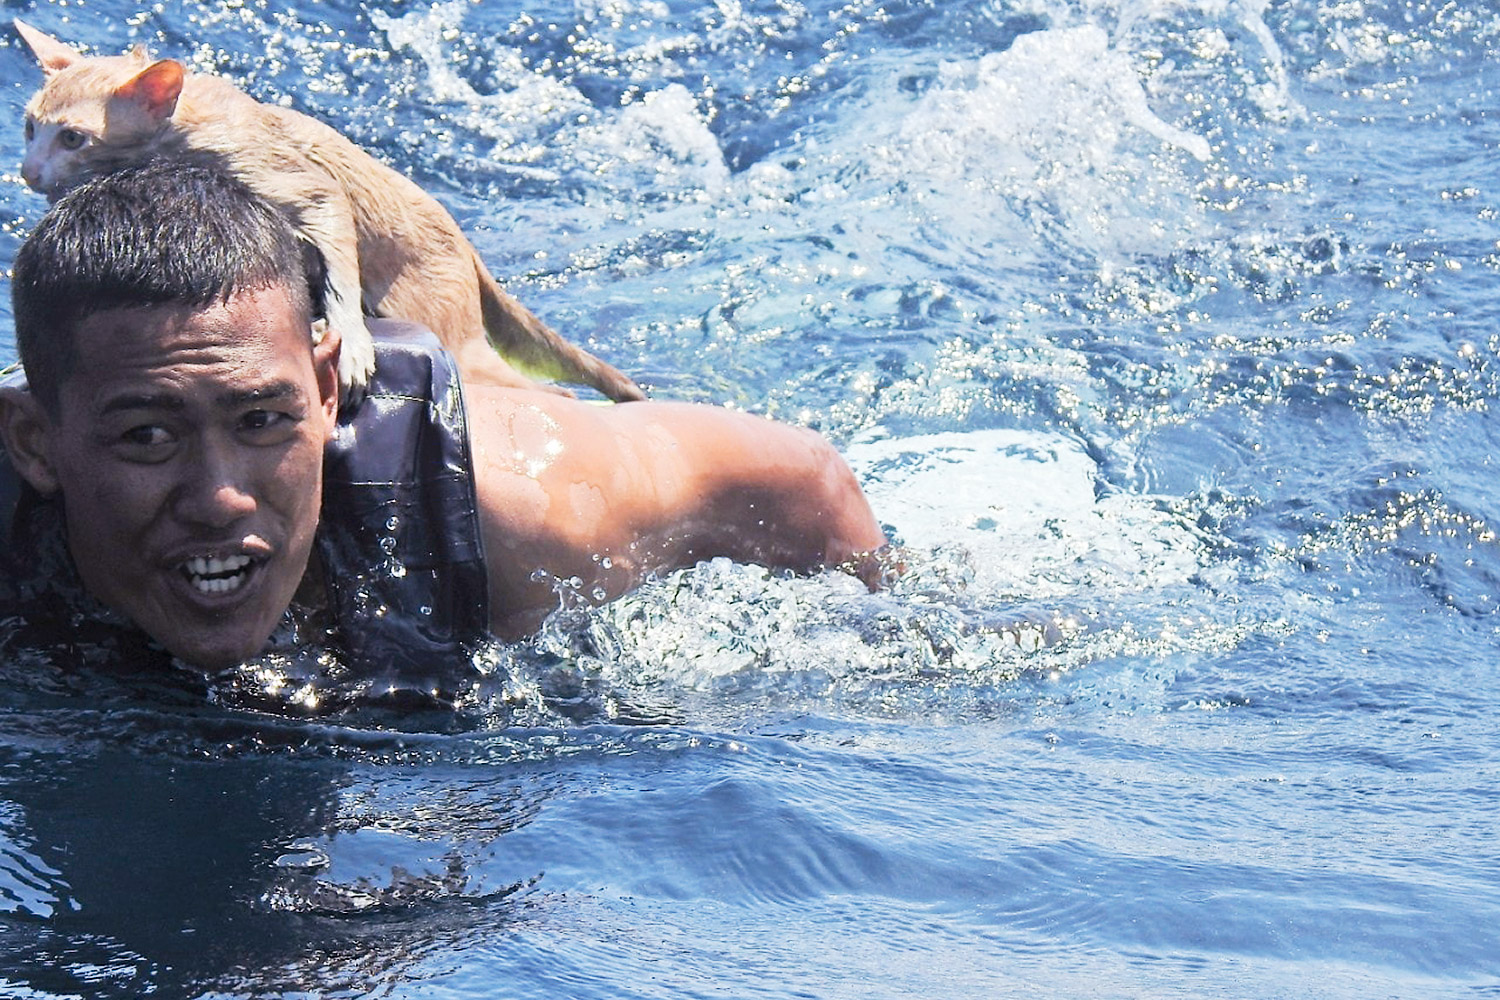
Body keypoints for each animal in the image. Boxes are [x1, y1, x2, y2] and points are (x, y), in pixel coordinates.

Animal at [11, 20, 645, 401]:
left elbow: (331, 233)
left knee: (547, 391)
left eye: (73, 138)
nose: (27, 172)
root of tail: (465, 244)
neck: (179, 132)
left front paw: (351, 341)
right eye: (29, 127)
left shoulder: (294, 181)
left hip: (436, 315)